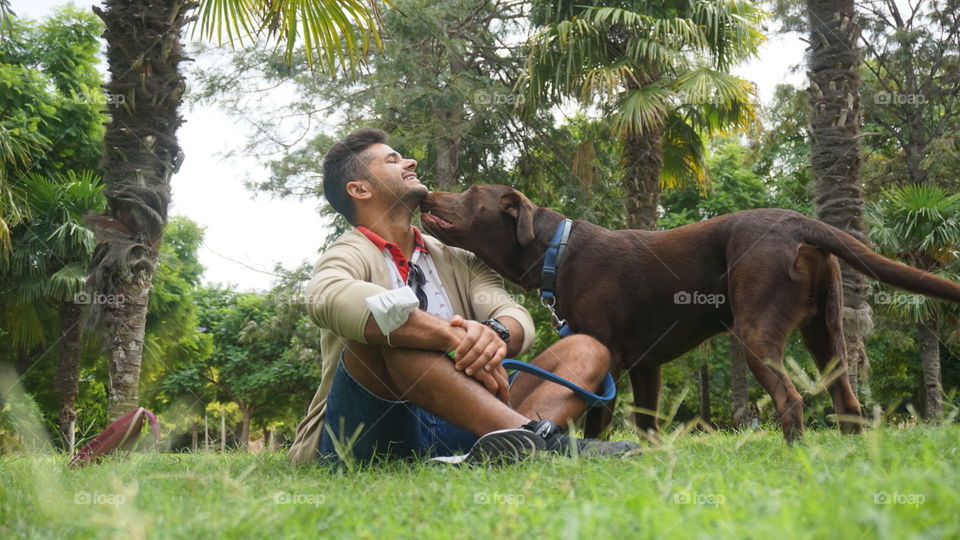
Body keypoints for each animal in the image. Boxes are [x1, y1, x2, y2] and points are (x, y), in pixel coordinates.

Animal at [424, 184, 960, 440]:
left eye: (470, 193)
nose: (427, 191)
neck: (556, 248)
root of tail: (797, 221)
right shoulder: (646, 366)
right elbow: (647, 424)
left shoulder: (608, 356)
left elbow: (600, 419)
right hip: (826, 334)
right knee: (847, 403)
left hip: (757, 331)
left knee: (790, 399)